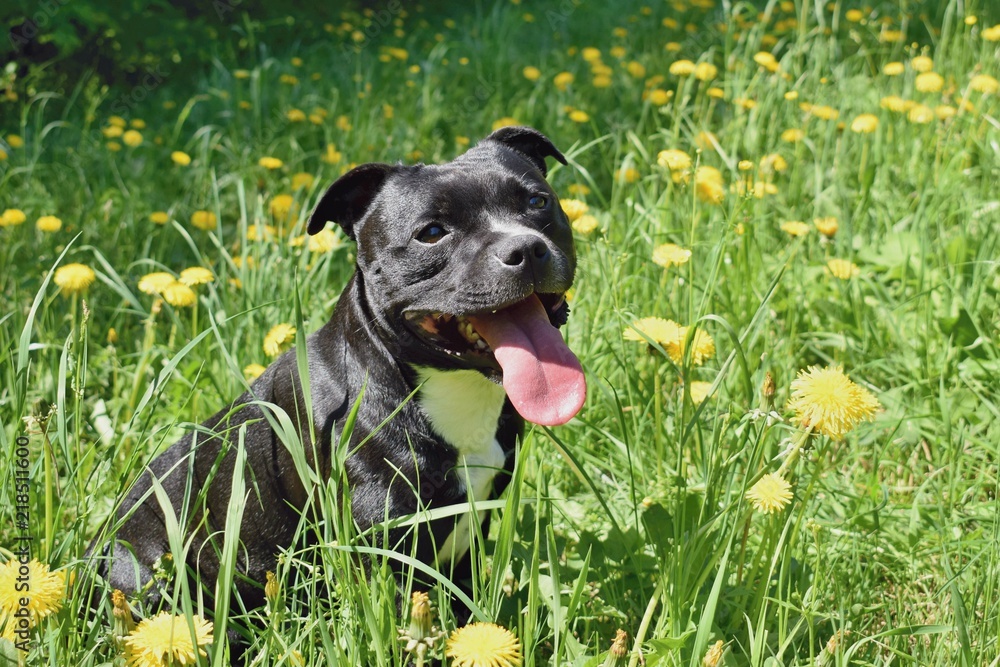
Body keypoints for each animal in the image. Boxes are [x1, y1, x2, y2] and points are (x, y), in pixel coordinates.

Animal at [91, 129, 588, 620]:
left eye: (538, 202)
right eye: (431, 233)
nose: (524, 248)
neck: (447, 386)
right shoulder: (382, 543)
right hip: (144, 567)